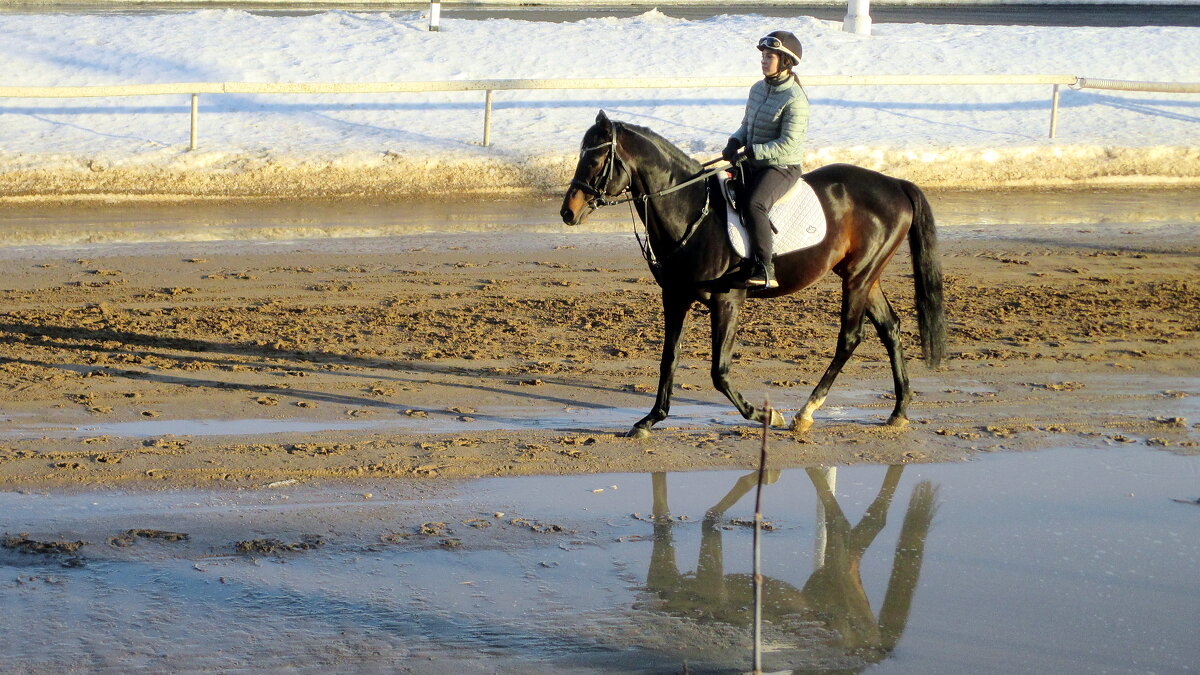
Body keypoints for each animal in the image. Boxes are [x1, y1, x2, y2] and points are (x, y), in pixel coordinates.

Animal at [561, 110, 945, 437]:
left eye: (595, 159)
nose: (568, 211)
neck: (692, 213)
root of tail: (895, 184)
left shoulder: (727, 300)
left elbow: (719, 372)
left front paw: (767, 415)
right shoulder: (675, 297)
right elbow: (669, 358)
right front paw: (650, 419)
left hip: (858, 277)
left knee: (850, 338)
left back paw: (806, 412)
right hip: (863, 275)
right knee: (890, 327)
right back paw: (898, 411)